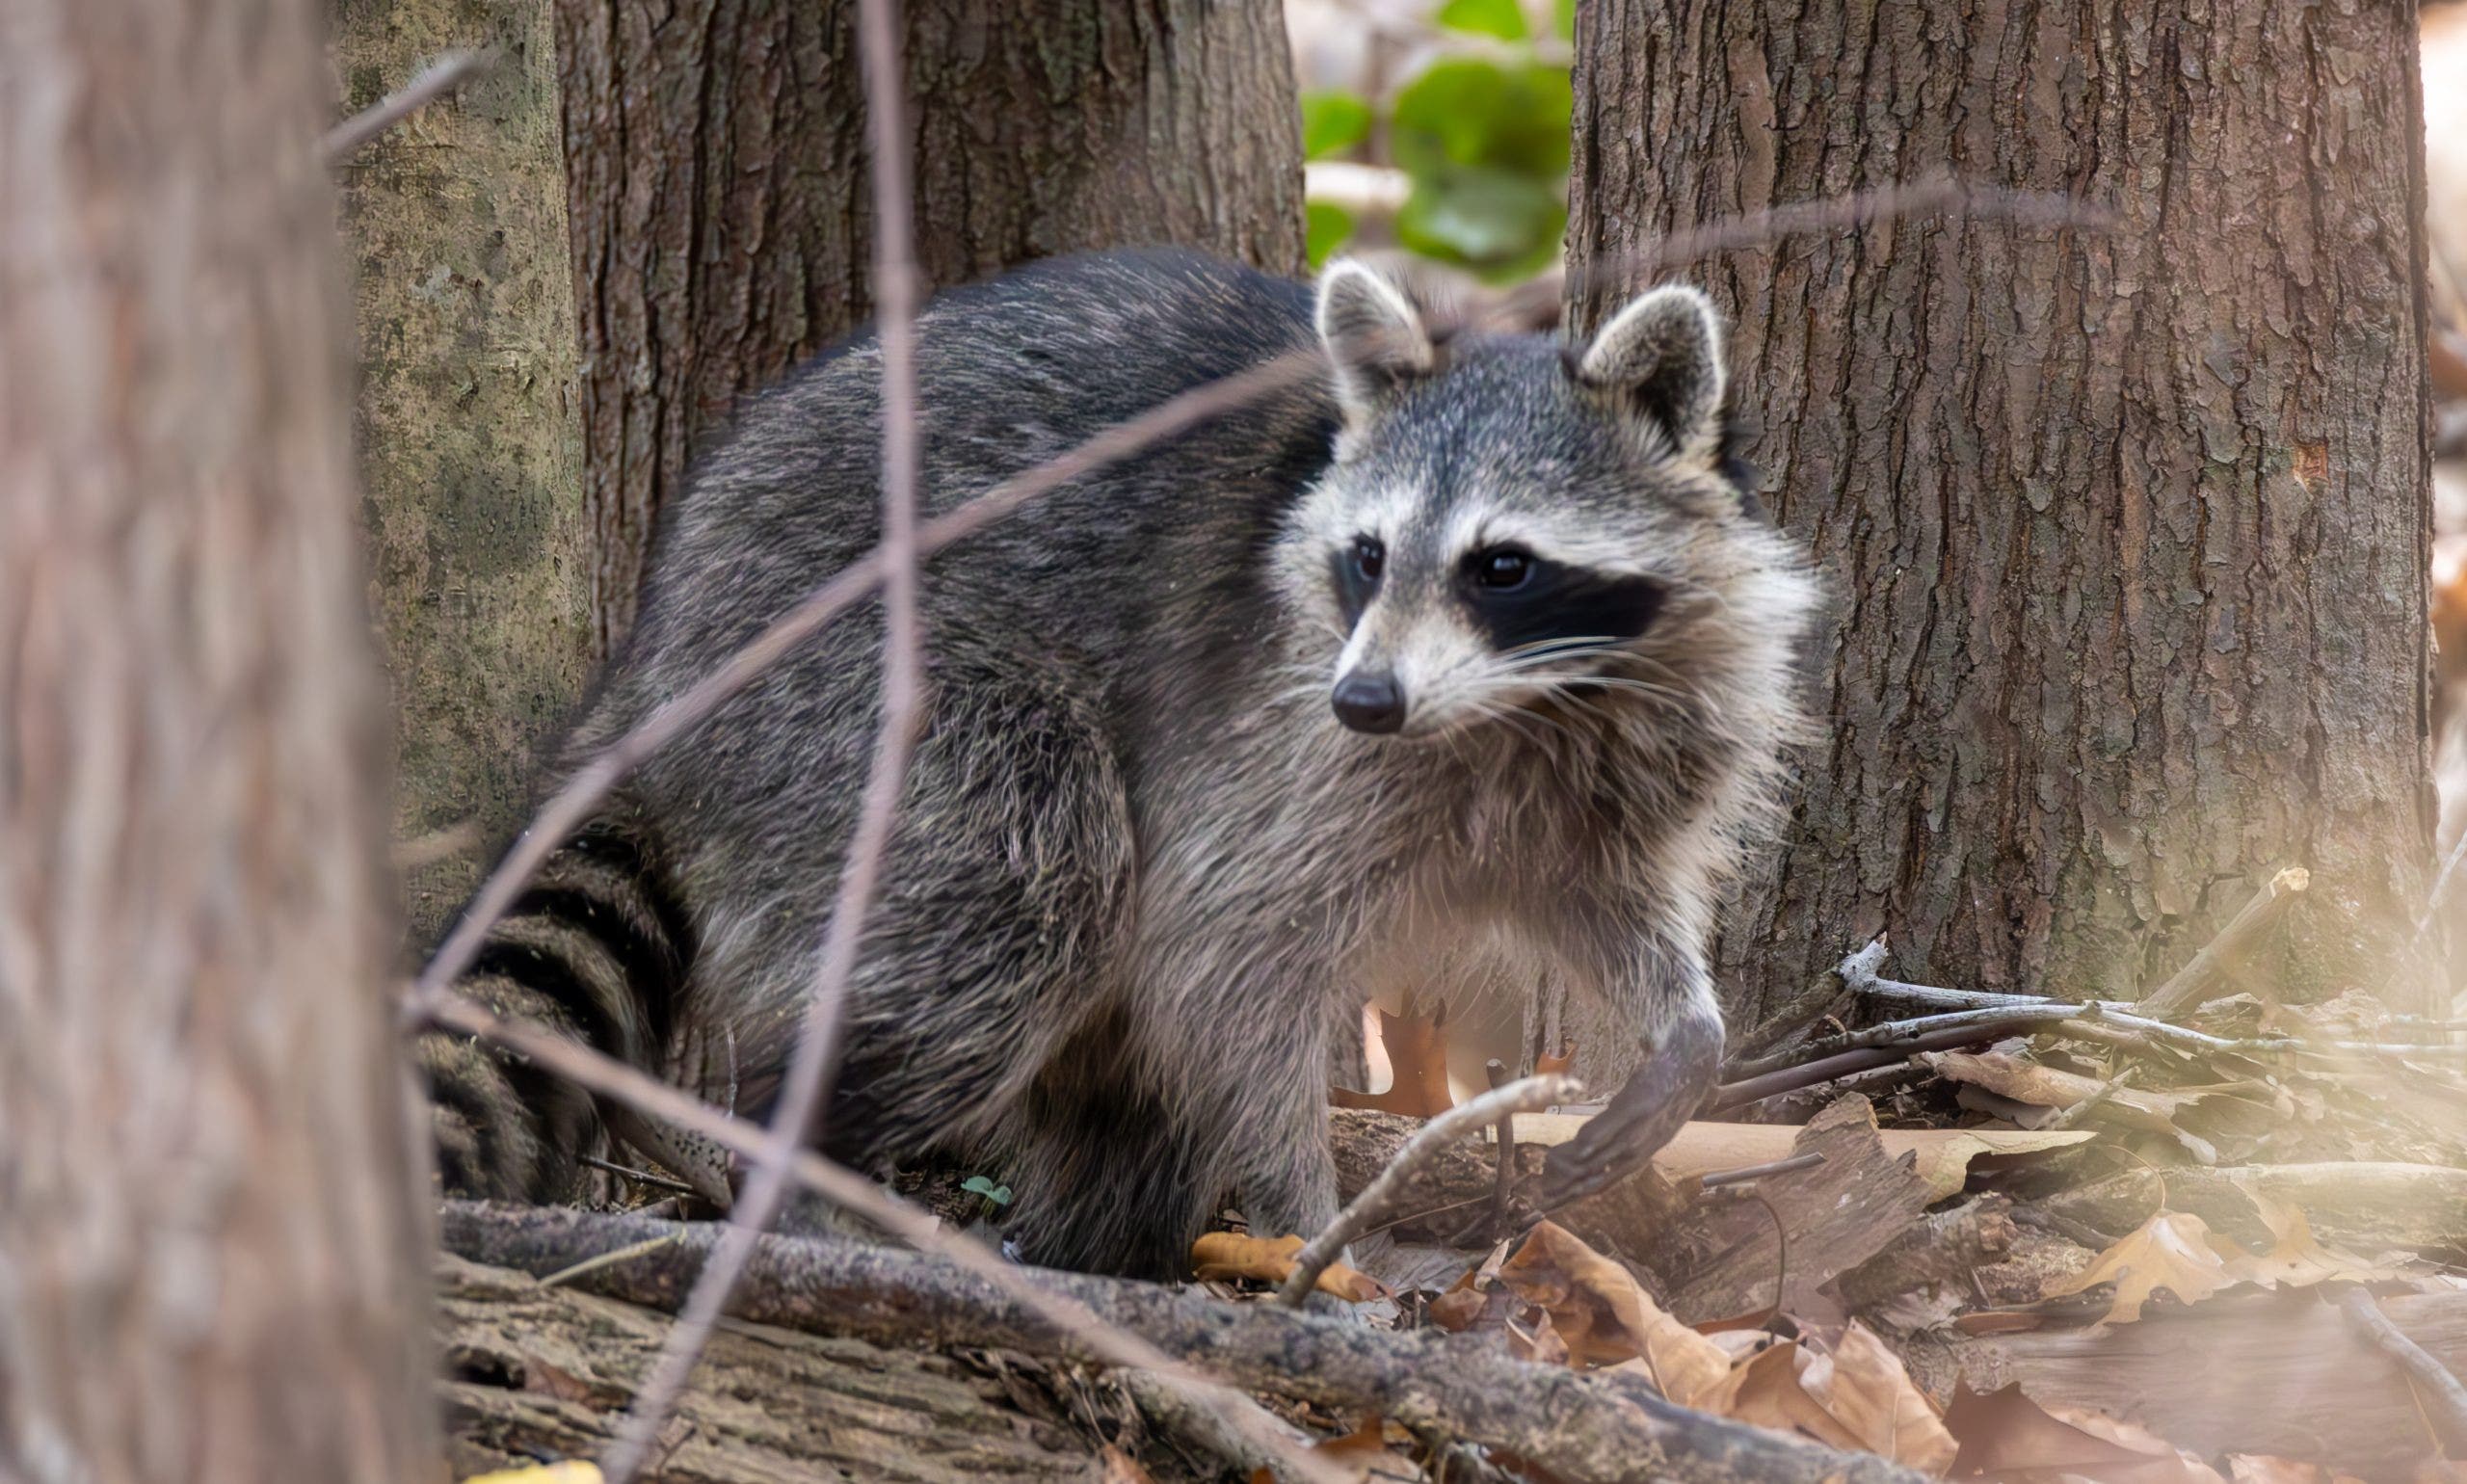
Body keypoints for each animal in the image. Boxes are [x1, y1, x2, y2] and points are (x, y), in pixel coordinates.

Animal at [418, 248, 1818, 1279]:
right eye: (1367, 555)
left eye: (1502, 565)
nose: (1365, 700)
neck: (1519, 701)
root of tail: (665, 633)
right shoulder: (1273, 736)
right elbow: (1223, 958)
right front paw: (1310, 1228)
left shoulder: (1631, 751)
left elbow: (1606, 896)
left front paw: (1684, 1038)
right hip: (855, 690)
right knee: (1027, 894)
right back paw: (812, 1159)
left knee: (1105, 1052)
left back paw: (1101, 1240)